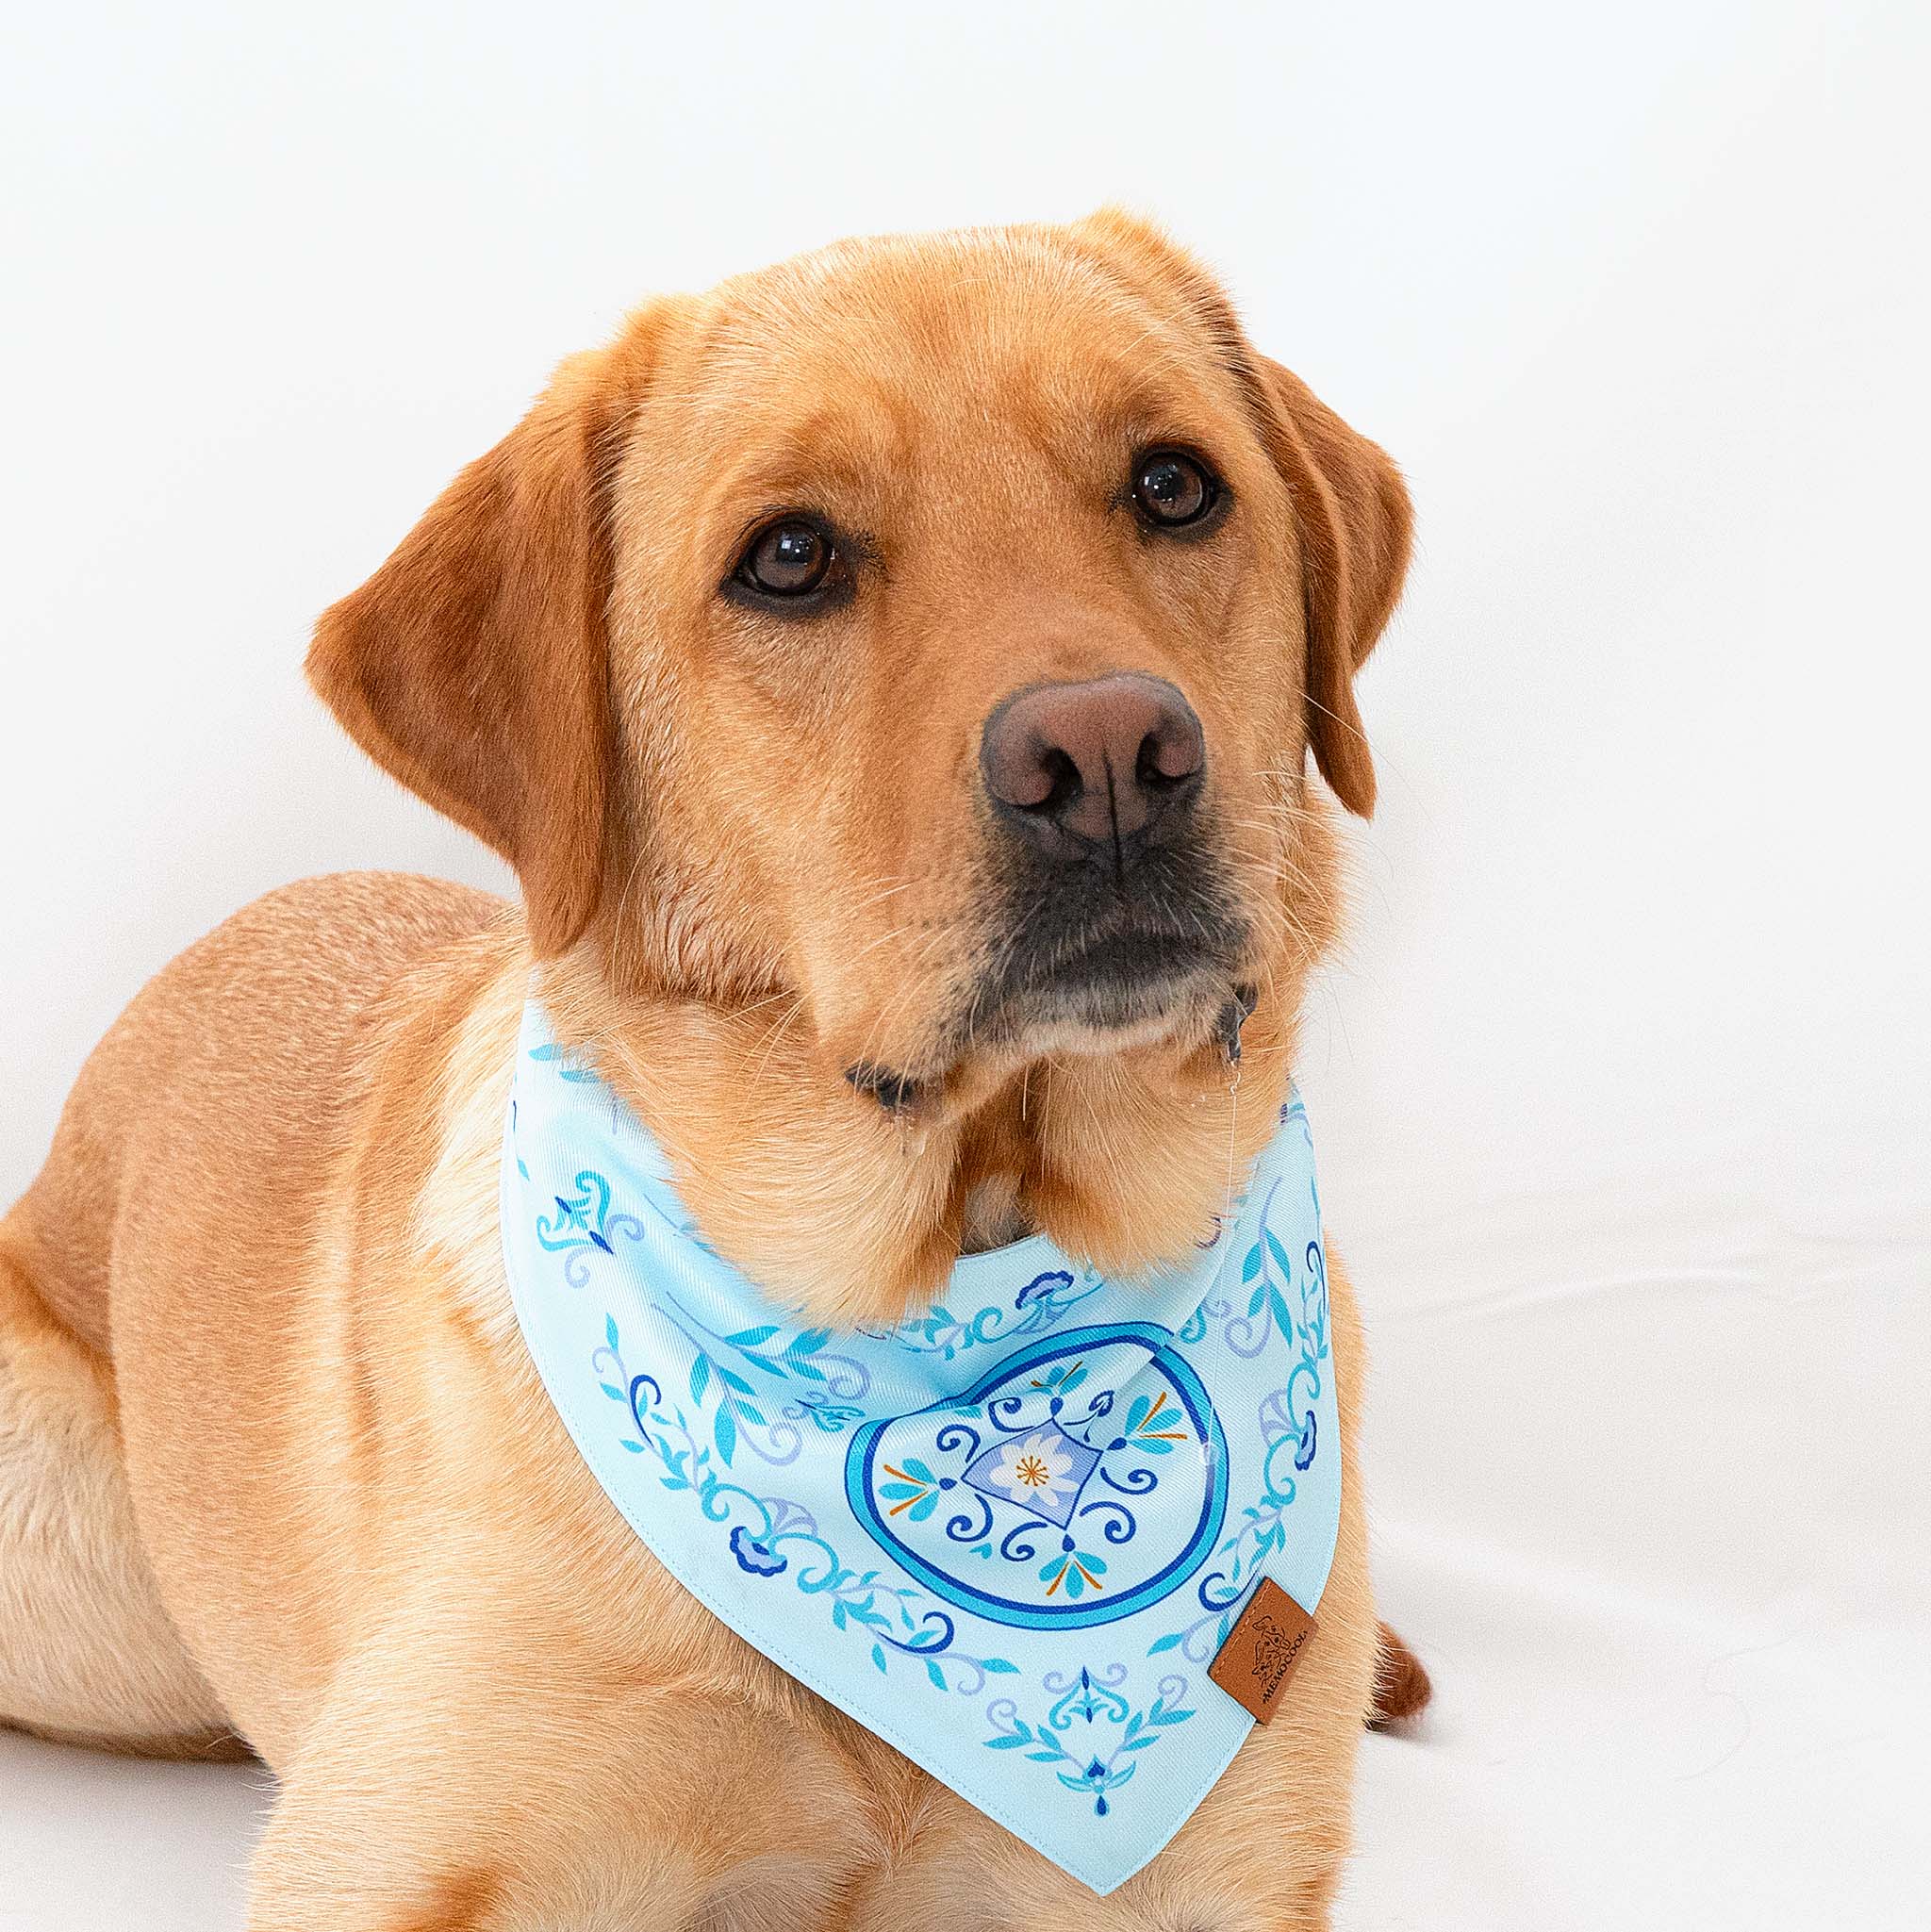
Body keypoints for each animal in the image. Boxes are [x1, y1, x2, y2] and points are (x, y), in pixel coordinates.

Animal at [0, 207, 1421, 1916]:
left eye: (1171, 484)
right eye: (790, 558)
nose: (1105, 762)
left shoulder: (1214, 1876)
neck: (947, 1283)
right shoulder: (391, 1846)